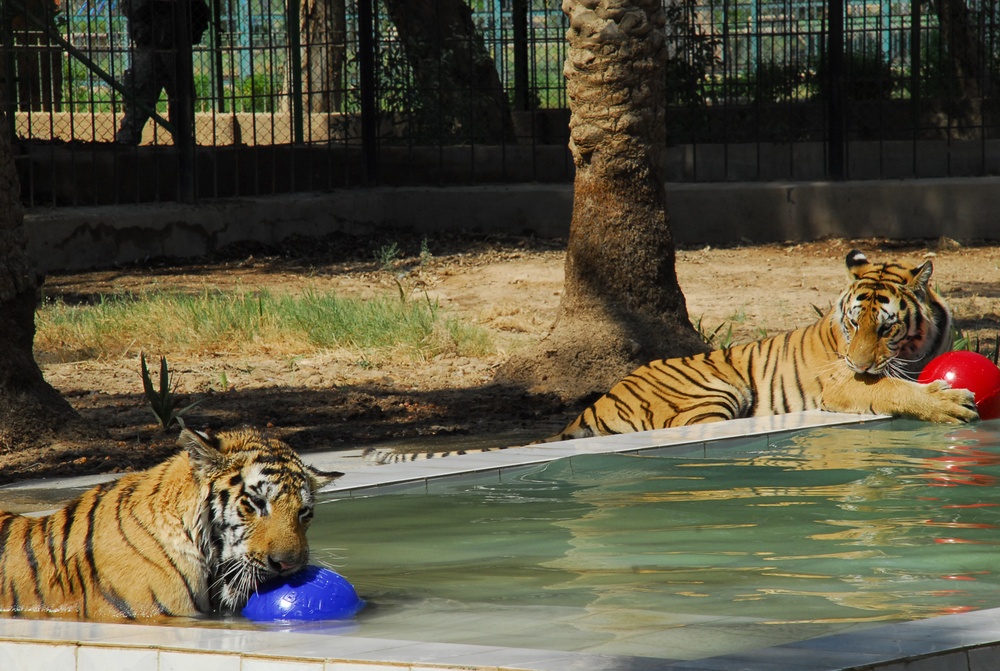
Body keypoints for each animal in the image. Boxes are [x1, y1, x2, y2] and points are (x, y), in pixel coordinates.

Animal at [368, 249, 976, 464]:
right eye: (852, 324)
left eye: (886, 326)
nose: (859, 362)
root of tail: (595, 400)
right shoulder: (840, 384)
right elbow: (893, 388)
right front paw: (947, 404)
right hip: (714, 391)